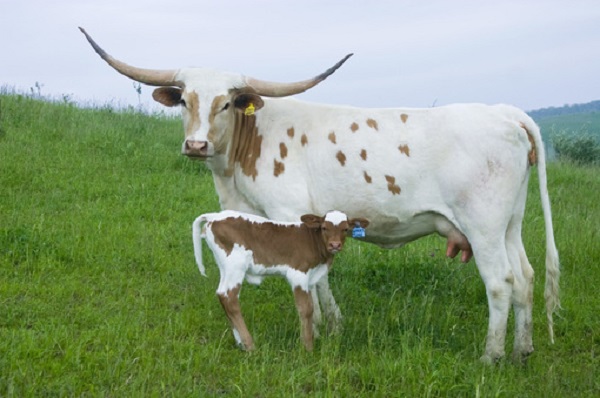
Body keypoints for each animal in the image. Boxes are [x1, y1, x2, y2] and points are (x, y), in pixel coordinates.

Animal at [195, 210, 368, 350]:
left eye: (345, 229)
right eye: (324, 227)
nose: (335, 245)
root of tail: (214, 216)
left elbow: (312, 307)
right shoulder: (298, 274)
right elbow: (306, 309)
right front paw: (308, 347)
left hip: (225, 267)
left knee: (222, 295)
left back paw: (241, 343)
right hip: (235, 265)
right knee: (228, 297)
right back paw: (250, 345)